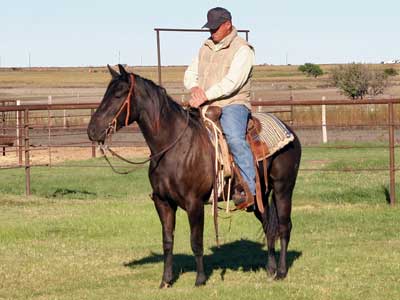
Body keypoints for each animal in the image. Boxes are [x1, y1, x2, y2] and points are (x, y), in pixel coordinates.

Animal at [86, 64, 300, 288]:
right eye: (106, 93)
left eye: (118, 95)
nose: (92, 130)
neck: (174, 146)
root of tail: (290, 130)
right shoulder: (163, 202)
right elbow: (167, 241)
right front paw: (166, 281)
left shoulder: (194, 203)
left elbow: (196, 242)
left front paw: (200, 279)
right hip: (260, 197)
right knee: (269, 226)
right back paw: (271, 270)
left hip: (283, 189)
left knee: (284, 226)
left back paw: (282, 271)